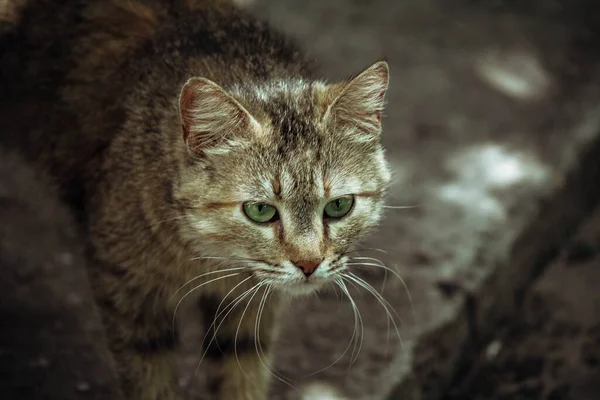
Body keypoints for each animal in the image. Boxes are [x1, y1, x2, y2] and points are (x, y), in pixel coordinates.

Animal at [0, 0, 394, 400]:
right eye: (260, 210)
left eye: (338, 206)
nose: (309, 263)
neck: (207, 257)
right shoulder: (127, 290)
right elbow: (149, 381)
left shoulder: (248, 308)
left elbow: (240, 373)